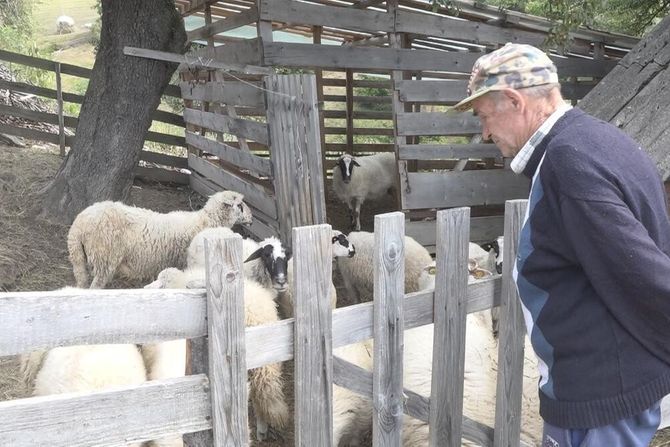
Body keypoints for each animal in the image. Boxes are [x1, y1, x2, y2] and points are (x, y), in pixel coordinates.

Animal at [68, 190, 253, 288]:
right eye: (240, 206)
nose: (251, 219)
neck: (205, 221)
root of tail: (78, 226)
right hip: (104, 257)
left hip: (79, 258)